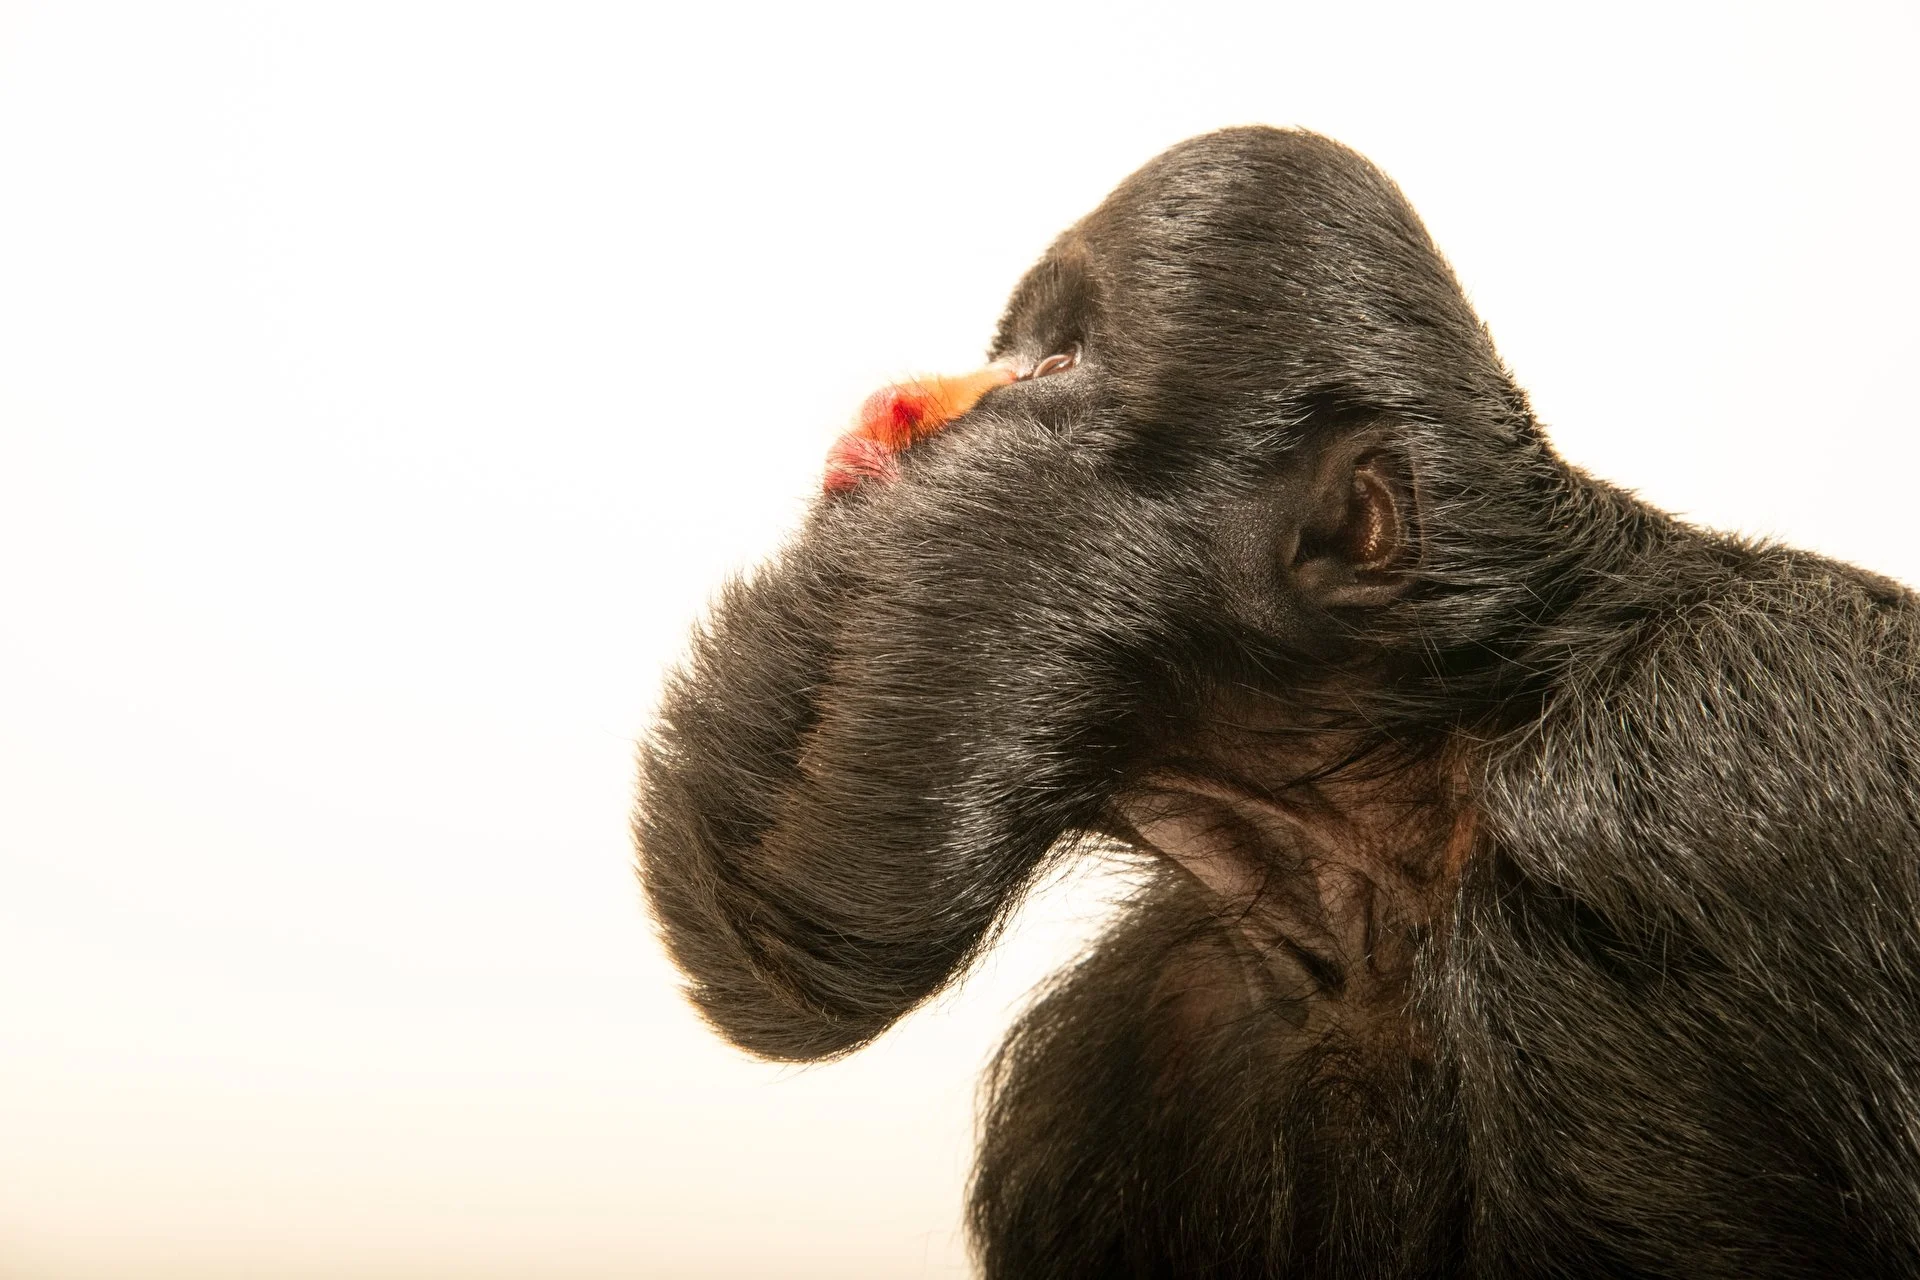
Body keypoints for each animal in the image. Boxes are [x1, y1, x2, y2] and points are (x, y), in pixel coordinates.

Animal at [634, 127, 1920, 1277]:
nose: (898, 403)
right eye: (1027, 348)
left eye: (1058, 367)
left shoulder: (1671, 795)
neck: (1398, 809)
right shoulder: (1159, 1013)